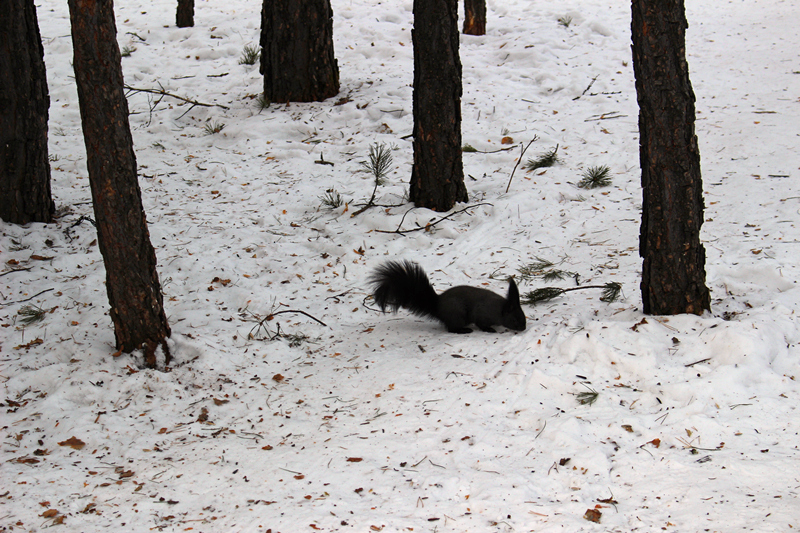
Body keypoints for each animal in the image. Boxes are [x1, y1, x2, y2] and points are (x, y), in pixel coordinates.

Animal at [372, 258, 528, 332]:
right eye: (515, 319)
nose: (523, 328)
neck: (499, 309)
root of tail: (437, 306)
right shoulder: (482, 314)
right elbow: (481, 324)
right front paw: (489, 329)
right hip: (457, 314)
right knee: (451, 329)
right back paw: (464, 331)